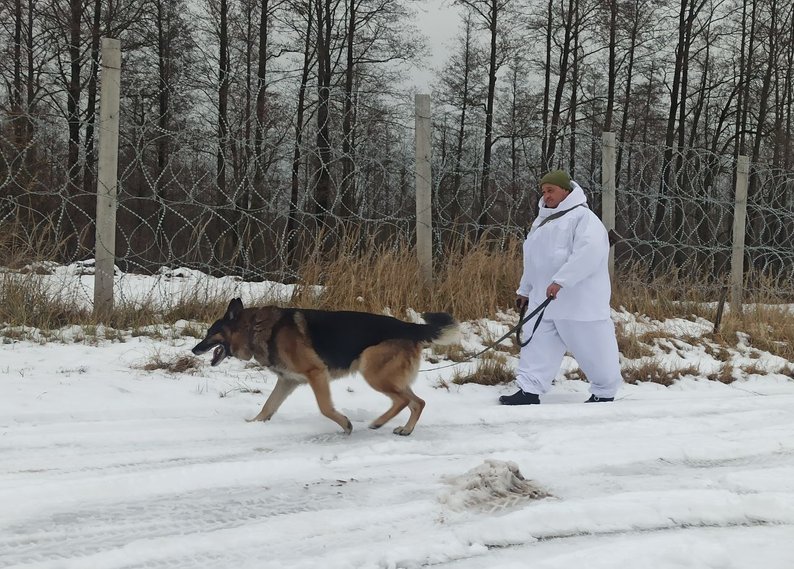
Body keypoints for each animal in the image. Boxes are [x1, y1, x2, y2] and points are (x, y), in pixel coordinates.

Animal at [192, 298, 460, 434]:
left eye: (211, 333)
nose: (194, 349)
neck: (254, 328)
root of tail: (410, 326)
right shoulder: (288, 381)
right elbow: (268, 406)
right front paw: (253, 425)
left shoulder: (316, 374)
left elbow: (324, 407)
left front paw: (345, 424)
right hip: (387, 376)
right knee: (417, 402)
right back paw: (403, 428)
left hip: (372, 371)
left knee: (406, 401)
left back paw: (380, 423)